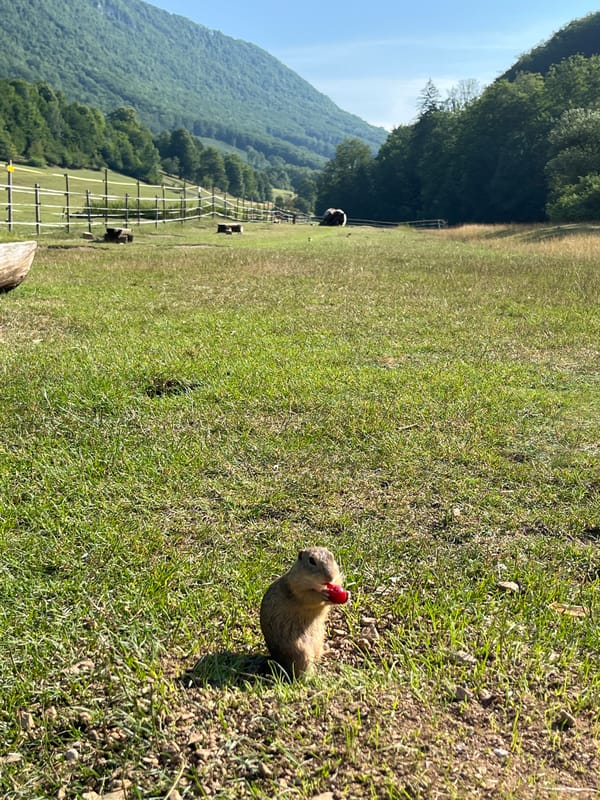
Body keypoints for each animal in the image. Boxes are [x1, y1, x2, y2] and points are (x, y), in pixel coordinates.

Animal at [260, 547, 348, 678]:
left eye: (331, 556)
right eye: (311, 561)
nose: (329, 577)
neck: (319, 585)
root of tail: (276, 660)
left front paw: (346, 595)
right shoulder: (296, 588)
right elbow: (309, 596)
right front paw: (322, 594)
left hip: (319, 640)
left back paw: (329, 652)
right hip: (300, 651)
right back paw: (313, 677)